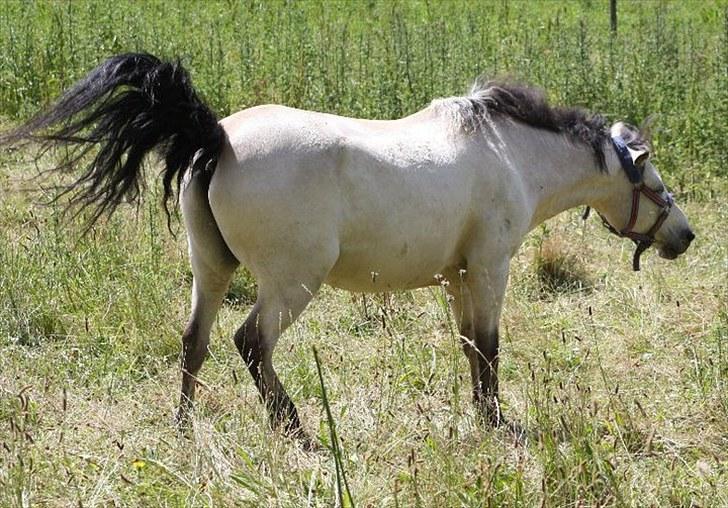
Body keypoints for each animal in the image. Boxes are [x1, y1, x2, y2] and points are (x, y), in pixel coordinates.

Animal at [0, 53, 692, 438]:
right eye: (656, 184)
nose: (684, 236)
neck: (508, 152)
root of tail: (214, 137)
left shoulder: (458, 277)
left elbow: (470, 346)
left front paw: (483, 417)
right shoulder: (490, 268)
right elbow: (490, 348)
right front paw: (497, 423)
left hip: (211, 269)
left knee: (194, 341)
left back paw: (184, 426)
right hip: (291, 283)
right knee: (250, 343)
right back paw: (295, 428)